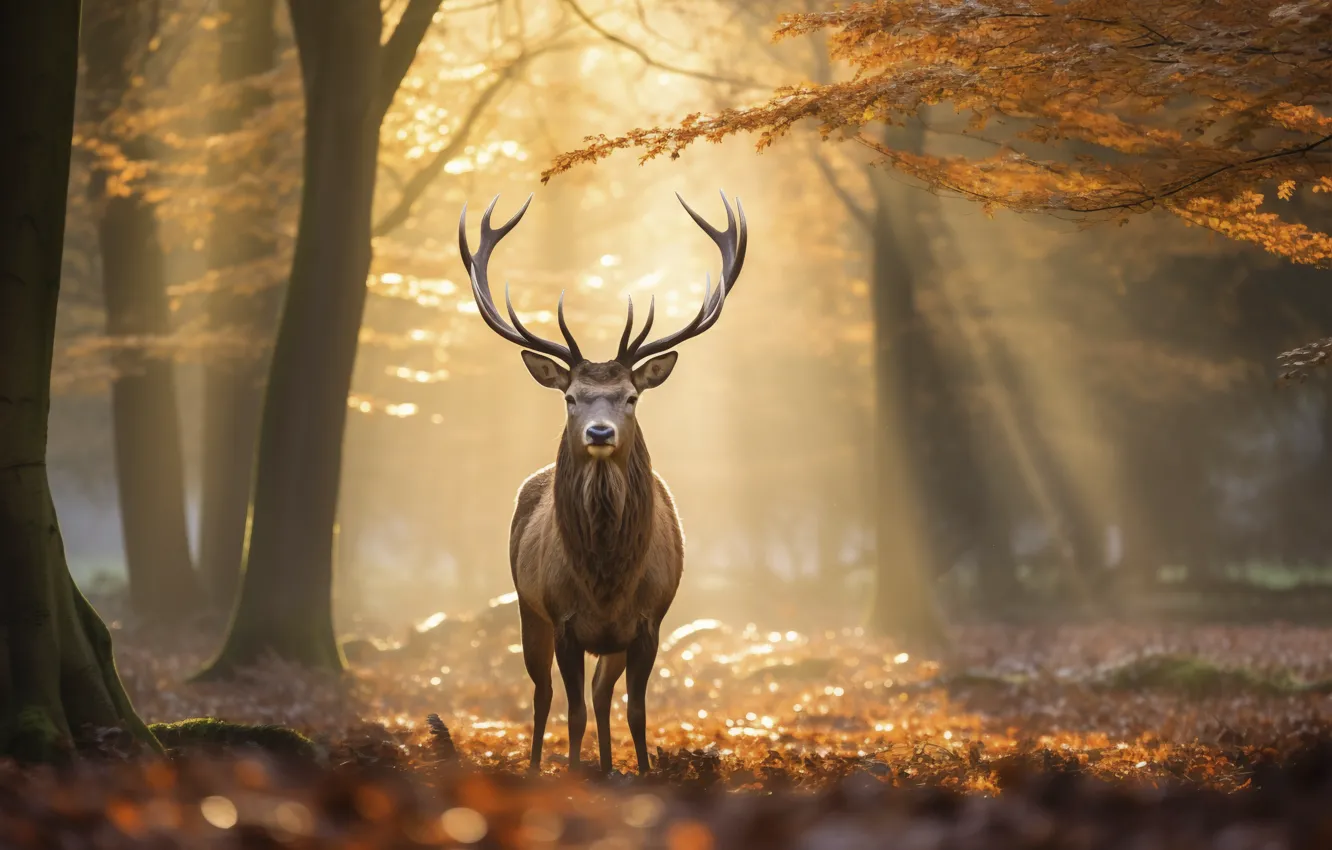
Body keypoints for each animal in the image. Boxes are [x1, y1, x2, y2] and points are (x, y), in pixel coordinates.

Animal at [457, 191, 748, 776]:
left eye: (630, 396)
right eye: (571, 397)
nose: (598, 431)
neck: (607, 580)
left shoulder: (648, 623)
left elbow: (635, 710)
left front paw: (641, 771)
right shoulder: (563, 619)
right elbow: (570, 712)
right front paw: (572, 773)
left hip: (607, 642)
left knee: (600, 693)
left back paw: (610, 766)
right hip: (526, 608)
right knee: (543, 694)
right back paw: (535, 766)